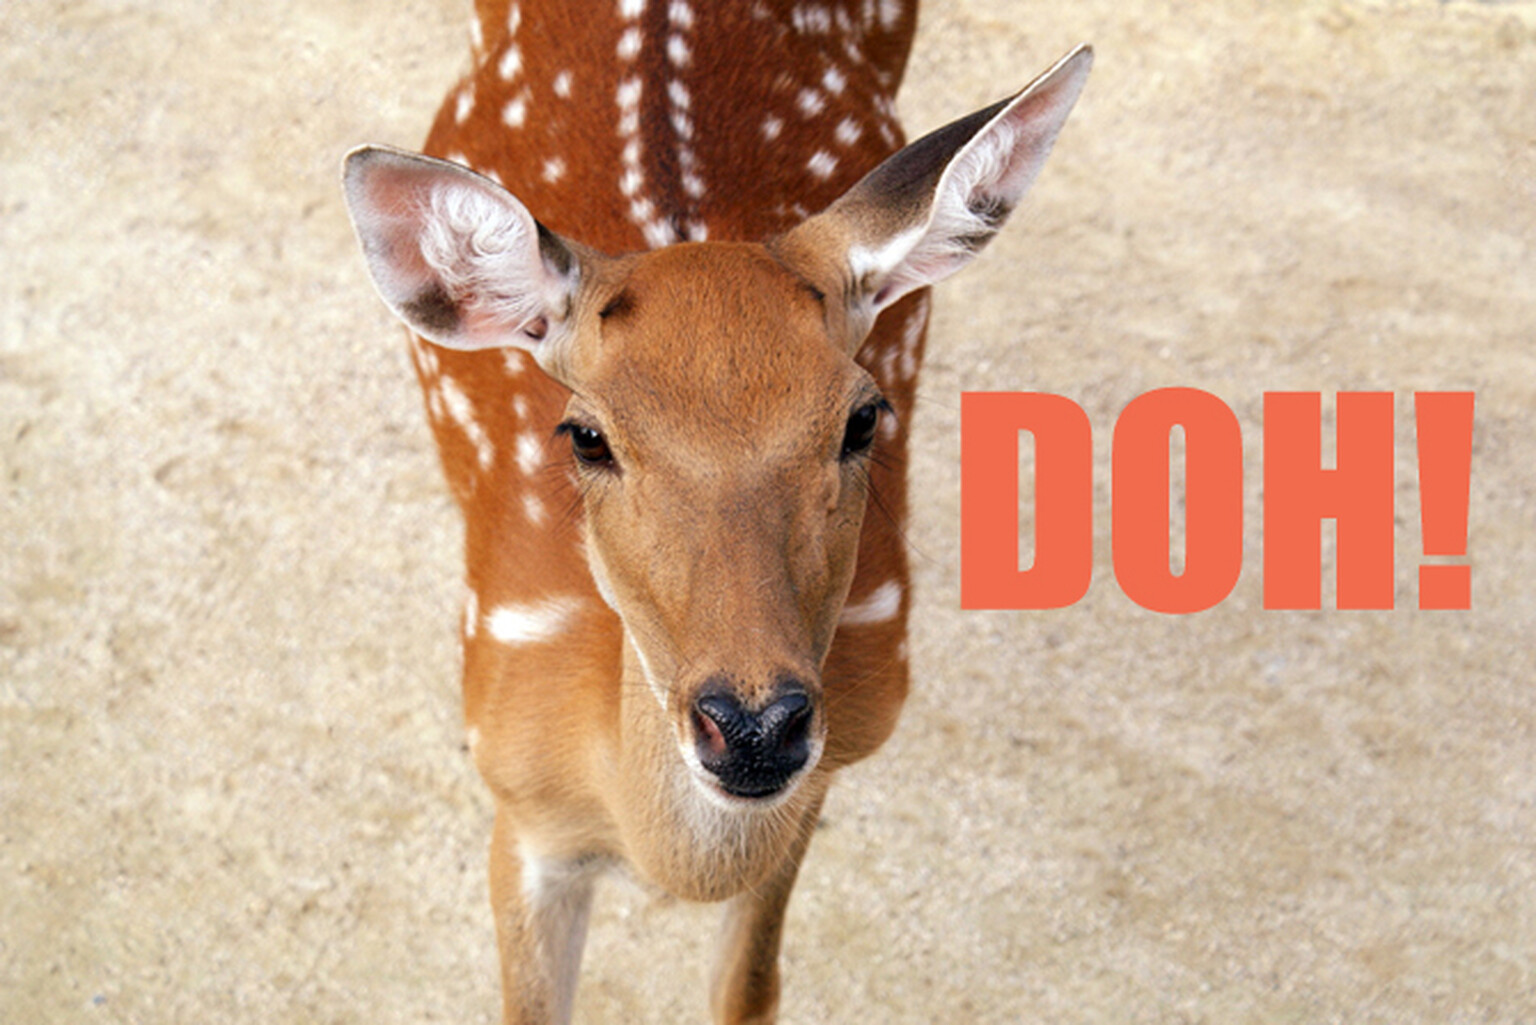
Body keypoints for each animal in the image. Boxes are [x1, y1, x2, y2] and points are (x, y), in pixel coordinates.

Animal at [342, 2, 1089, 1021]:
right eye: (586, 435)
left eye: (863, 416)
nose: (755, 727)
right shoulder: (518, 802)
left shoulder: (825, 773)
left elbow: (750, 987)